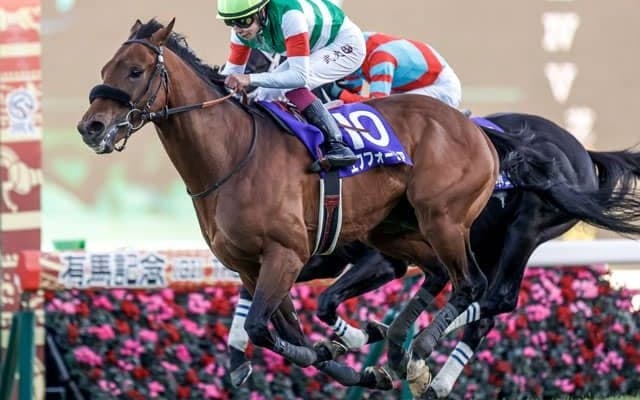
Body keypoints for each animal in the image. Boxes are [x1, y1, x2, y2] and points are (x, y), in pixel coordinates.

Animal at [76, 18, 501, 388]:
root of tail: (474, 128)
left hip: (442, 220)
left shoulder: (286, 254)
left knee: (471, 283)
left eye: (135, 71)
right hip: (392, 231)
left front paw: (337, 347)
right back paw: (397, 349)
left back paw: (420, 350)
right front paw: (352, 363)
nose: (90, 128)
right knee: (439, 272)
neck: (233, 155)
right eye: (105, 68)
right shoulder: (249, 265)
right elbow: (285, 332)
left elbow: (261, 328)